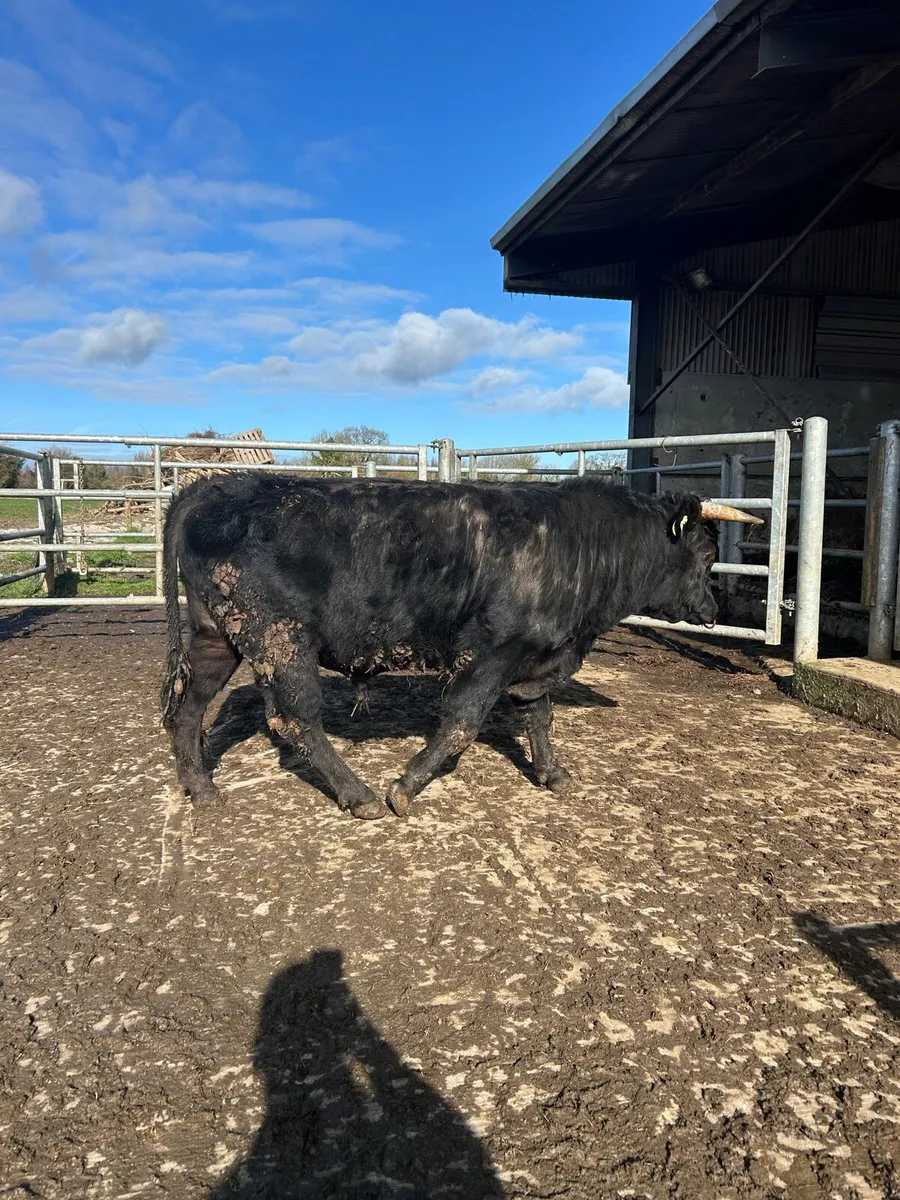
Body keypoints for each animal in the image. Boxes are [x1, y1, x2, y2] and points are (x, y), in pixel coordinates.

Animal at [160, 473, 759, 819]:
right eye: (708, 555)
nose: (713, 612)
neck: (583, 545)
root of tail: (209, 486)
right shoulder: (492, 652)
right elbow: (462, 723)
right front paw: (406, 787)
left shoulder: (539, 654)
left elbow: (539, 716)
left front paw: (552, 773)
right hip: (281, 637)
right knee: (297, 718)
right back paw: (360, 795)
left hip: (218, 635)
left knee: (189, 707)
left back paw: (200, 786)